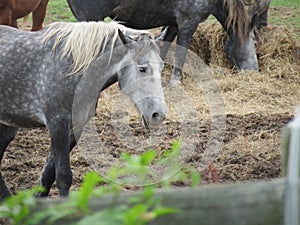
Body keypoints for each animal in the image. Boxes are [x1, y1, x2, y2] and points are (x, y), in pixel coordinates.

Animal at [0, 20, 166, 199]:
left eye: (162, 67)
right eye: (142, 68)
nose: (158, 115)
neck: (73, 70)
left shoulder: (75, 127)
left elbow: (49, 173)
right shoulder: (58, 125)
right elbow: (63, 176)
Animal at [67, 0, 270, 81]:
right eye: (254, 43)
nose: (254, 72)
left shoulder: (173, 24)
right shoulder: (188, 23)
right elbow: (181, 52)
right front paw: (175, 81)